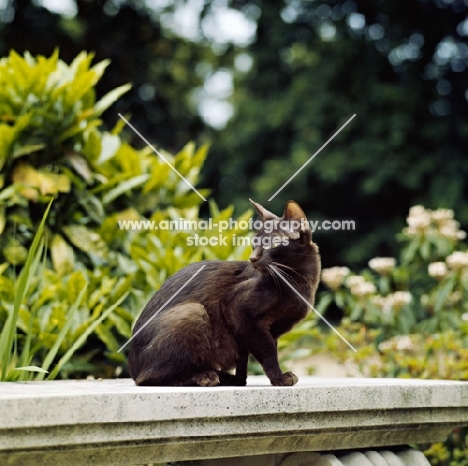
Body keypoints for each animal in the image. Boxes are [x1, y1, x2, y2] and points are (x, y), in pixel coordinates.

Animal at [128, 199, 320, 386]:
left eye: (272, 244)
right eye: (254, 244)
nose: (252, 259)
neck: (299, 282)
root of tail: (133, 367)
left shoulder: (264, 329)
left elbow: (244, 357)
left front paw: (237, 381)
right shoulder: (238, 309)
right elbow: (268, 352)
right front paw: (279, 379)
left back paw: (220, 376)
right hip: (193, 311)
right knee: (149, 378)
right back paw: (204, 377)